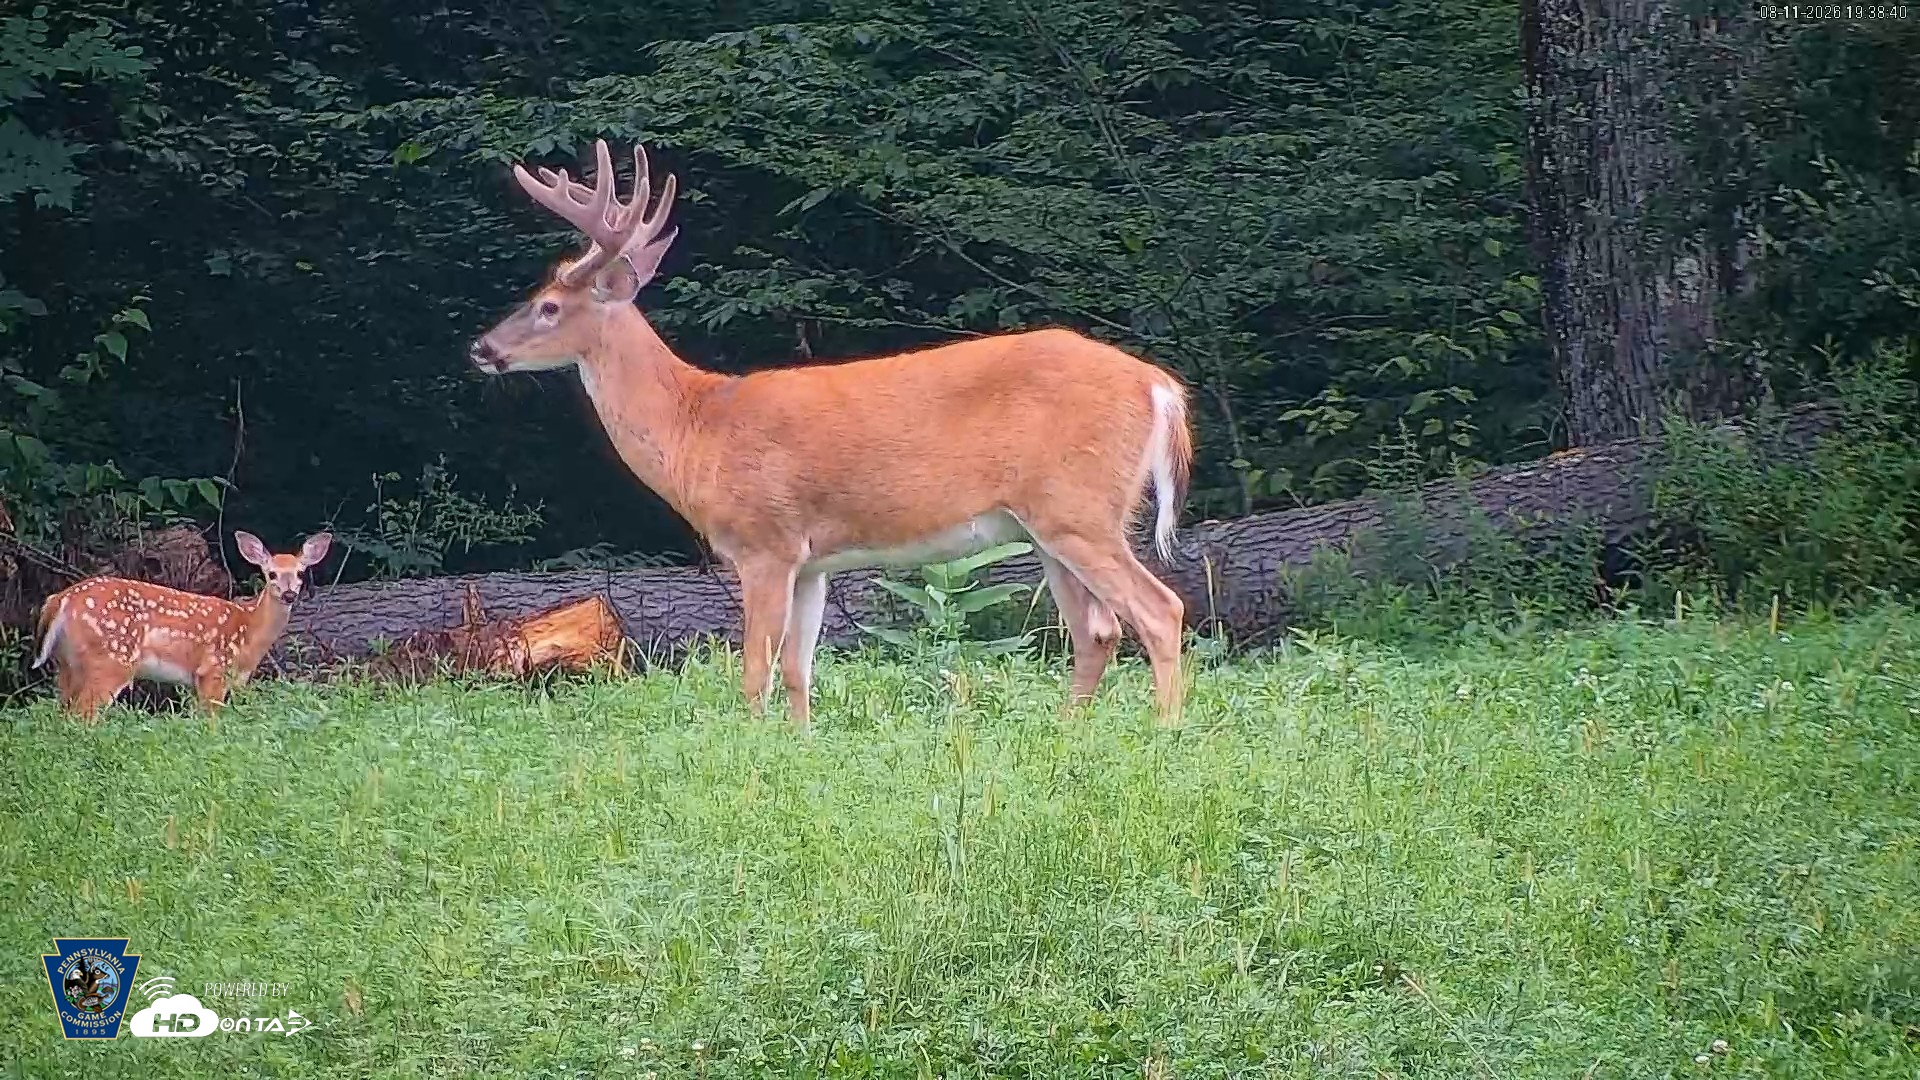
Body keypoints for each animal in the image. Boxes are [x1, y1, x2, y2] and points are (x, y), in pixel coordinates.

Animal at [32, 530, 332, 722]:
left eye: (301, 573)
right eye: (271, 574)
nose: (289, 594)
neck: (248, 630)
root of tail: (60, 600)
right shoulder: (213, 670)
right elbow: (212, 722)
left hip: (68, 664)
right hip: (110, 660)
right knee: (83, 714)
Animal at [468, 140, 1192, 731]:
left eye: (548, 306)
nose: (482, 348)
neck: (697, 429)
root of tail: (1159, 386)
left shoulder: (764, 543)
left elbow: (754, 671)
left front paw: (754, 753)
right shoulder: (813, 560)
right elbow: (799, 670)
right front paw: (801, 745)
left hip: (1079, 507)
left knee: (1159, 609)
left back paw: (1164, 731)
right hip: (1048, 525)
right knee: (1097, 629)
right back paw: (1069, 733)